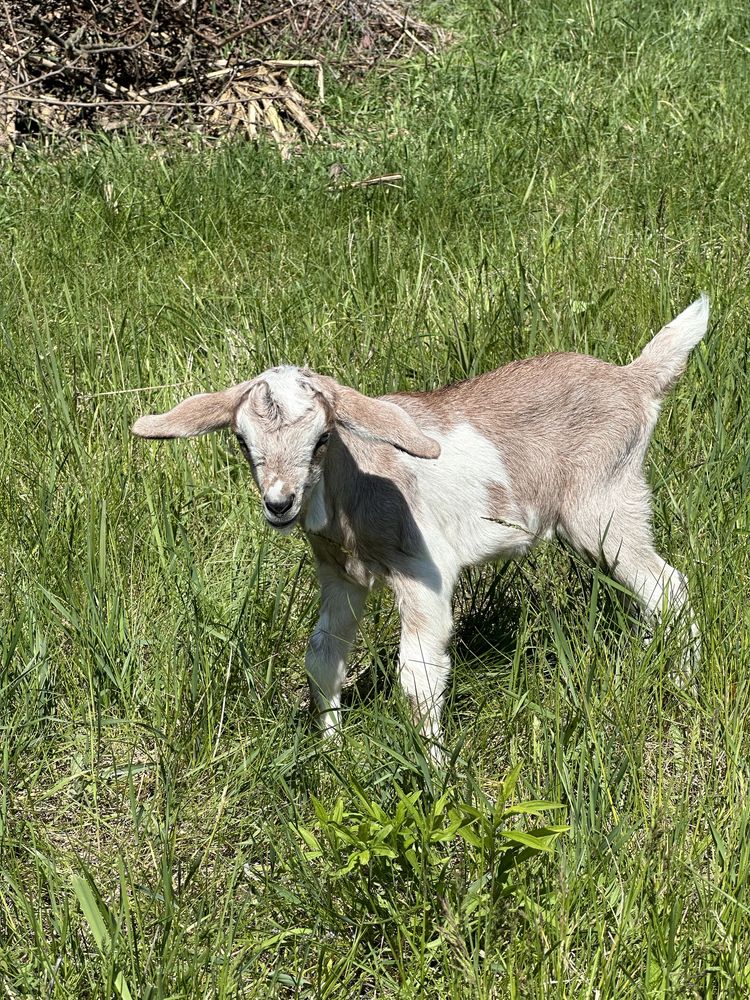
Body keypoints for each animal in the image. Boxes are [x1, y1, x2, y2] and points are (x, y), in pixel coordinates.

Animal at [134, 296, 712, 752]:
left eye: (322, 438)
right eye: (241, 440)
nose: (280, 503)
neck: (356, 485)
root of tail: (634, 379)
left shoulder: (423, 571)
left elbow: (418, 672)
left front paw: (434, 766)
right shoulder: (340, 574)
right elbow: (322, 653)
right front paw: (331, 747)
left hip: (605, 503)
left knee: (667, 585)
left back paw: (682, 682)